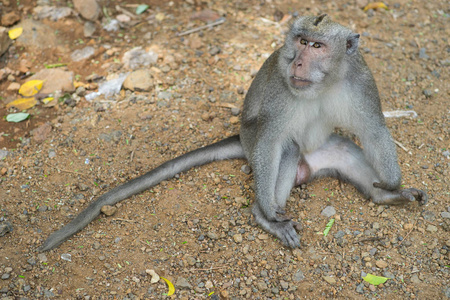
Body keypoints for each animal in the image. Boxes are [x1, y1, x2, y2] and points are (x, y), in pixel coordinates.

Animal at [39, 15, 428, 252]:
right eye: (301, 41)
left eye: (317, 46)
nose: (298, 62)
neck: (324, 82)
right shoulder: (281, 90)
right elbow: (271, 139)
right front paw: (268, 211)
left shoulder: (360, 78)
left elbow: (373, 128)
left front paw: (391, 183)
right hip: (252, 143)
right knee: (284, 150)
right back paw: (265, 215)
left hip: (326, 152)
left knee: (346, 150)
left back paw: (388, 197)